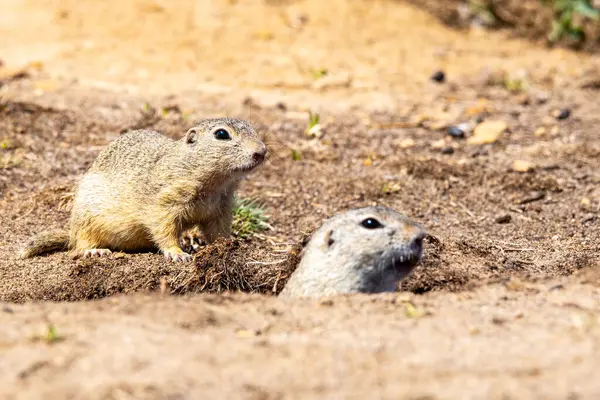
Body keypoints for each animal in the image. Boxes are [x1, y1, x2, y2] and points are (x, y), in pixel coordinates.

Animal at [19, 118, 268, 262]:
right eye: (221, 134)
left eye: (252, 128)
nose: (262, 151)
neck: (215, 183)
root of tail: (69, 231)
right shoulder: (164, 203)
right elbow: (163, 228)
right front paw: (177, 253)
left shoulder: (221, 209)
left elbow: (219, 231)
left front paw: (229, 244)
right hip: (86, 218)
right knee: (79, 244)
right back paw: (95, 251)